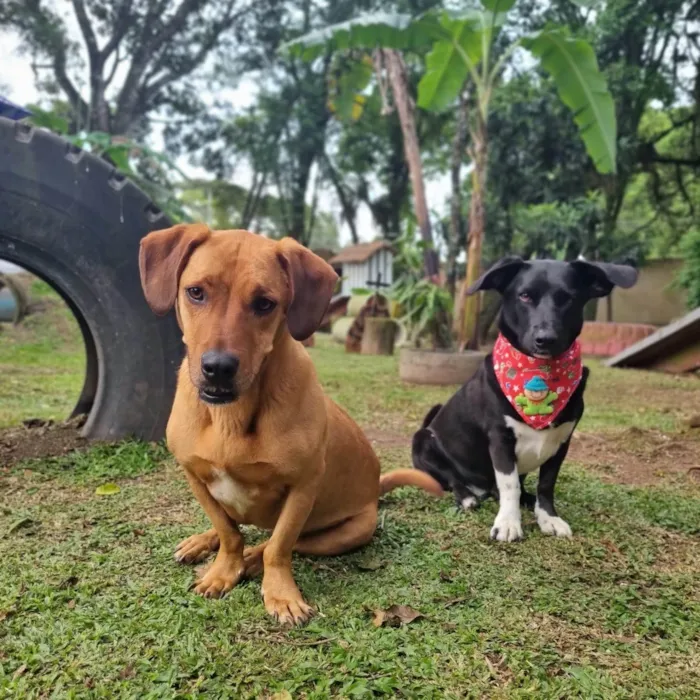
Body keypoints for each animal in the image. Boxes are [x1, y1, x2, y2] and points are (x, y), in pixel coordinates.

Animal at [139, 223, 440, 624]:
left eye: (265, 303)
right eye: (196, 292)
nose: (218, 368)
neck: (231, 418)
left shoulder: (303, 486)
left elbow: (278, 547)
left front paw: (279, 593)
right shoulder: (194, 475)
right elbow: (229, 531)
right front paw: (222, 568)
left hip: (350, 531)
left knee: (280, 542)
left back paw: (250, 561)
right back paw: (203, 542)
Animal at [412, 258, 636, 540]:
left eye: (568, 298)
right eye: (525, 296)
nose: (545, 339)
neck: (538, 374)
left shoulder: (562, 442)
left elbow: (546, 484)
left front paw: (548, 516)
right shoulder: (500, 440)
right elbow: (509, 485)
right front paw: (508, 522)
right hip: (422, 442)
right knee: (452, 480)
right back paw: (466, 497)